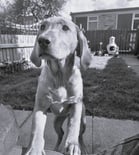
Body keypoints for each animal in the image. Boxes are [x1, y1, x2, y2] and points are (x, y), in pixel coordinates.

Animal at [25, 16, 92, 155]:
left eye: (65, 28)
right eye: (42, 27)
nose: (42, 40)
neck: (60, 75)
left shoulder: (76, 103)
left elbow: (73, 126)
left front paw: (72, 145)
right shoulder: (40, 105)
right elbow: (36, 128)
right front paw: (34, 149)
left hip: (83, 120)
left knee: (80, 134)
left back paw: (82, 146)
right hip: (56, 121)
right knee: (60, 133)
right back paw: (56, 148)